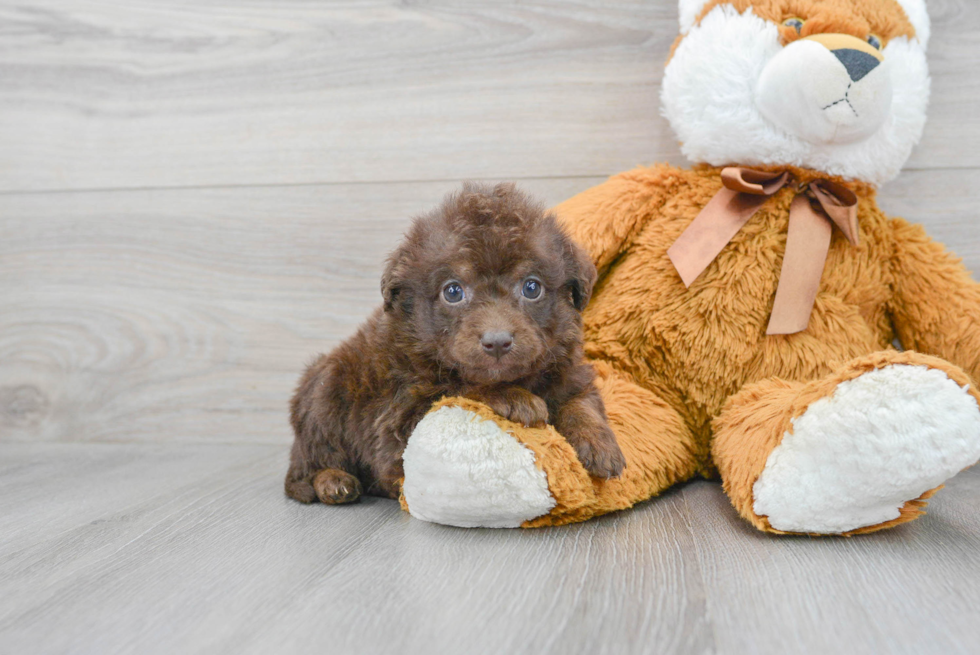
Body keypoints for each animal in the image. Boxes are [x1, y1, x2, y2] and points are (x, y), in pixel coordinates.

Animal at [284, 182, 624, 504]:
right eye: (453, 292)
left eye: (531, 287)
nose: (497, 342)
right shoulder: (401, 419)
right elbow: (460, 388)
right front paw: (513, 398)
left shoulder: (570, 374)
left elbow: (581, 402)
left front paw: (600, 444)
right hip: (324, 396)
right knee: (307, 466)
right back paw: (333, 482)